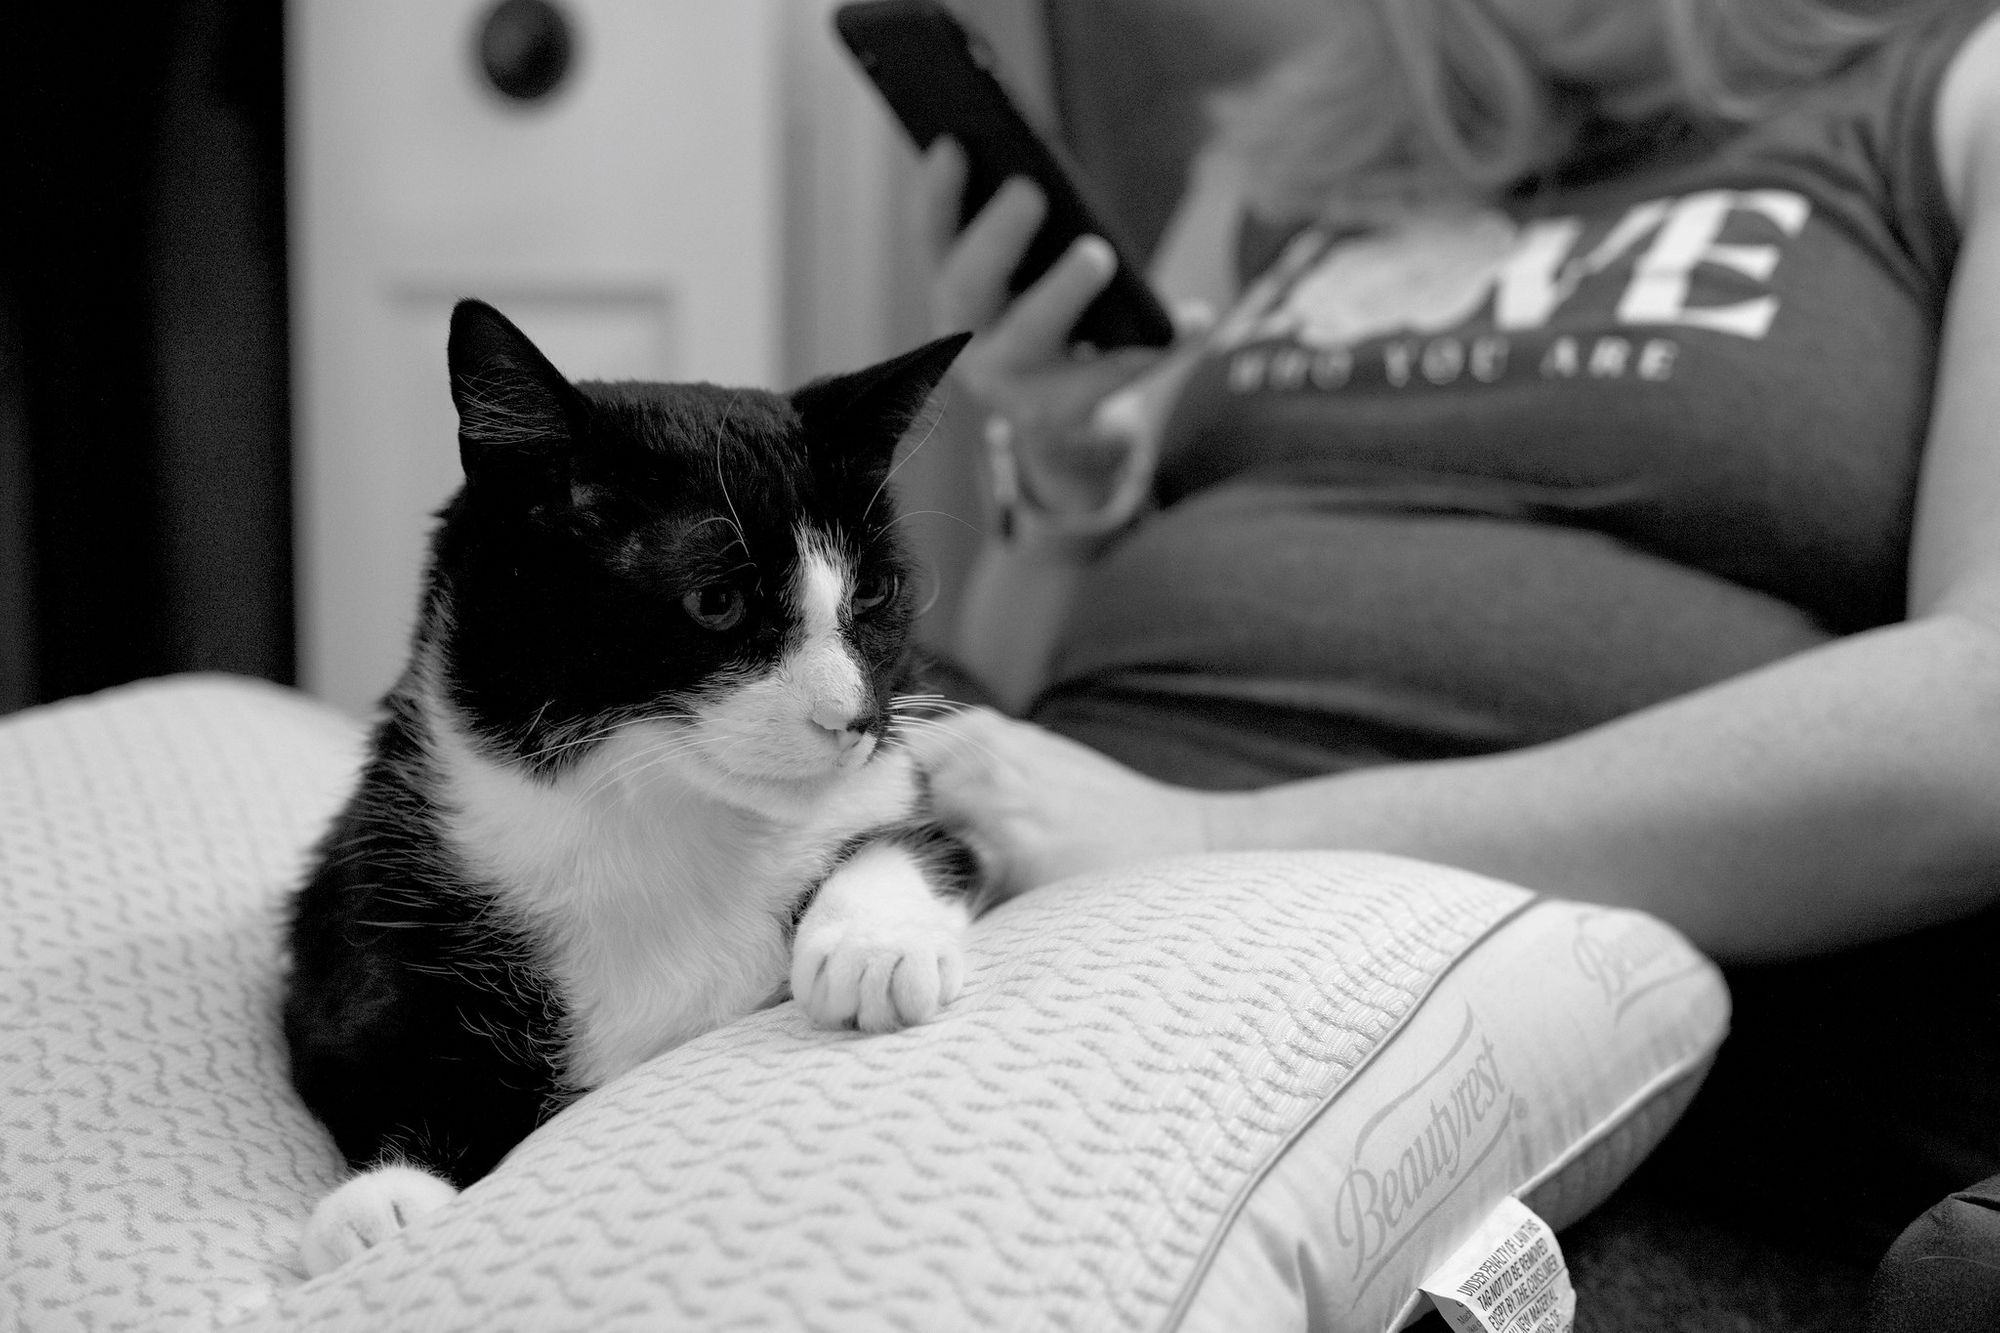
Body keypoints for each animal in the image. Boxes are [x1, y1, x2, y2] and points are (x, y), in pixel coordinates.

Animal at [288, 298, 984, 1264]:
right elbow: (357, 1048)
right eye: (716, 602)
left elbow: (917, 842)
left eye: (877, 591)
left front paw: (873, 949)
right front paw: (384, 1197)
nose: (852, 717)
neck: (658, 811)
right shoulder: (365, 885)